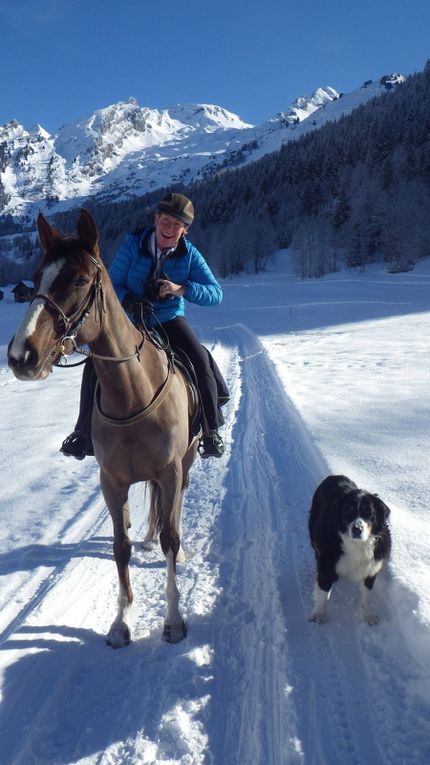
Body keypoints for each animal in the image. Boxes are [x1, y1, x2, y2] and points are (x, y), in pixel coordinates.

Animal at [7, 207, 201, 644]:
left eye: (80, 279)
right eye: (37, 276)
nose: (20, 355)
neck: (133, 394)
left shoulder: (170, 470)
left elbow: (171, 537)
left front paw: (173, 619)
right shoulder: (111, 481)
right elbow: (120, 546)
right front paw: (121, 621)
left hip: (187, 463)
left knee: (174, 514)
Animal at [308, 474, 392, 624]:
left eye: (369, 513)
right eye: (348, 511)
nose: (356, 529)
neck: (358, 544)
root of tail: (334, 476)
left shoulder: (372, 568)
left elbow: (366, 597)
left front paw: (368, 616)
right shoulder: (327, 564)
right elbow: (323, 594)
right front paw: (318, 615)